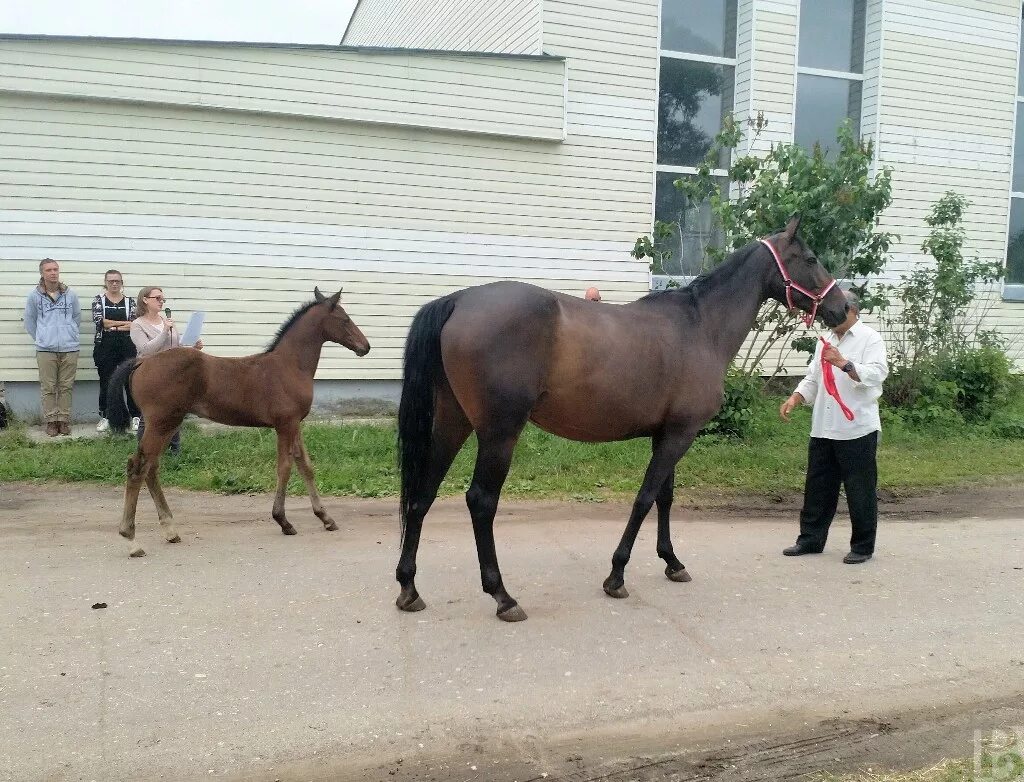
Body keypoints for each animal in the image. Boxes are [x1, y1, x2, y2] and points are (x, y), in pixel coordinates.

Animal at [108, 286, 370, 556]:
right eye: (344, 319)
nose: (365, 346)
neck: (289, 366)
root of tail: (142, 361)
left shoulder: (295, 423)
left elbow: (305, 466)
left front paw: (325, 517)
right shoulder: (285, 424)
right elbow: (284, 467)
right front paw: (283, 520)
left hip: (168, 423)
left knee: (151, 467)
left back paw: (170, 530)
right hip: (161, 422)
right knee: (138, 468)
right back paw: (131, 539)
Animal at [395, 216, 843, 618]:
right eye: (810, 258)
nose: (844, 307)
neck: (700, 326)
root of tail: (458, 301)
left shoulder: (668, 433)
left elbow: (664, 497)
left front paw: (672, 562)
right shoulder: (681, 434)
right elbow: (645, 498)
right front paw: (616, 576)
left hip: (452, 424)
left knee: (422, 493)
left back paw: (408, 588)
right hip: (498, 434)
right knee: (481, 501)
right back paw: (502, 596)